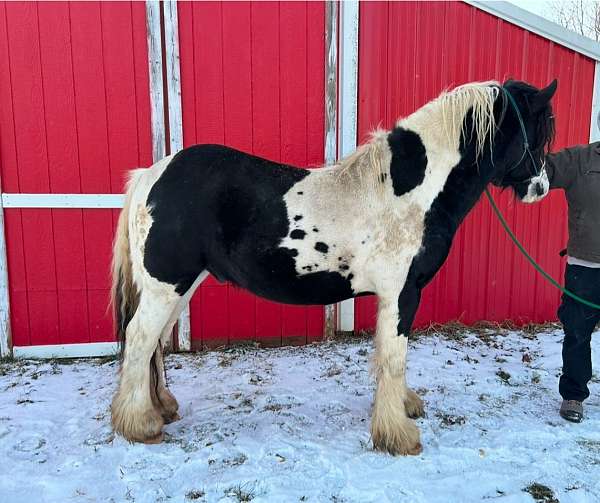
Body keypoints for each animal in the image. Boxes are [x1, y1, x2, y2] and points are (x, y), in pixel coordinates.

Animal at [110, 79, 556, 456]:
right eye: (540, 132)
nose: (541, 188)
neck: (409, 192)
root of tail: (150, 176)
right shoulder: (402, 294)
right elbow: (395, 357)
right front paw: (398, 436)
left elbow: (388, 356)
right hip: (167, 285)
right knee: (140, 339)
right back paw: (140, 425)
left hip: (176, 287)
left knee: (154, 345)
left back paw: (161, 408)